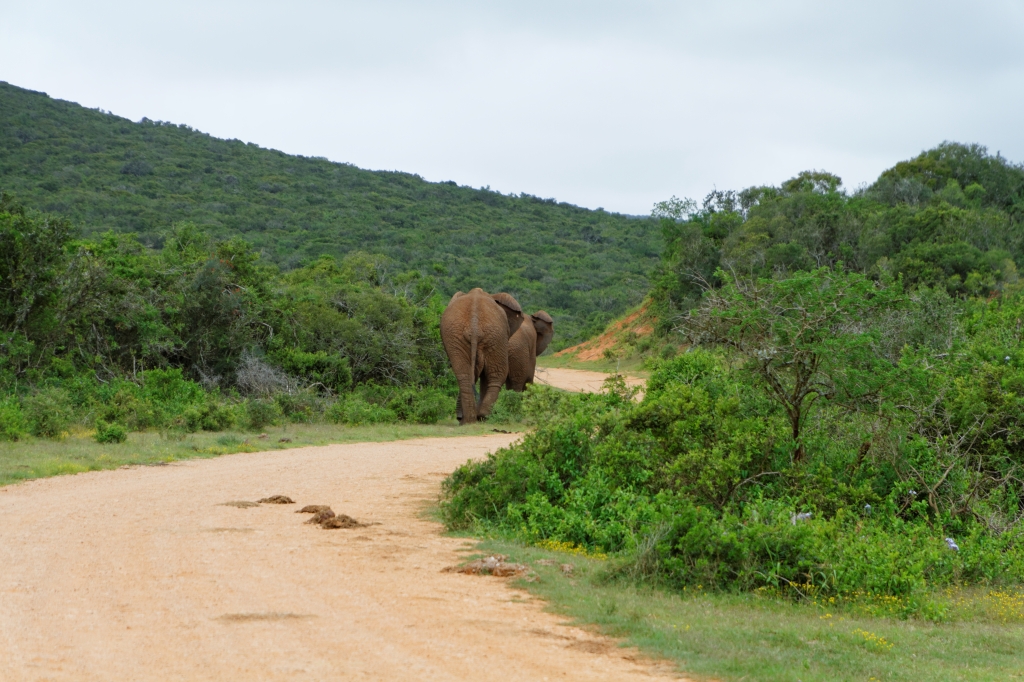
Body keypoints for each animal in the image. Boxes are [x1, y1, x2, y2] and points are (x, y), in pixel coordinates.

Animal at [440, 288, 524, 424]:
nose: (458, 417)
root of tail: (474, 327)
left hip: (459, 336)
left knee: (464, 375)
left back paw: (469, 421)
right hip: (496, 336)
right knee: (497, 374)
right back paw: (482, 417)